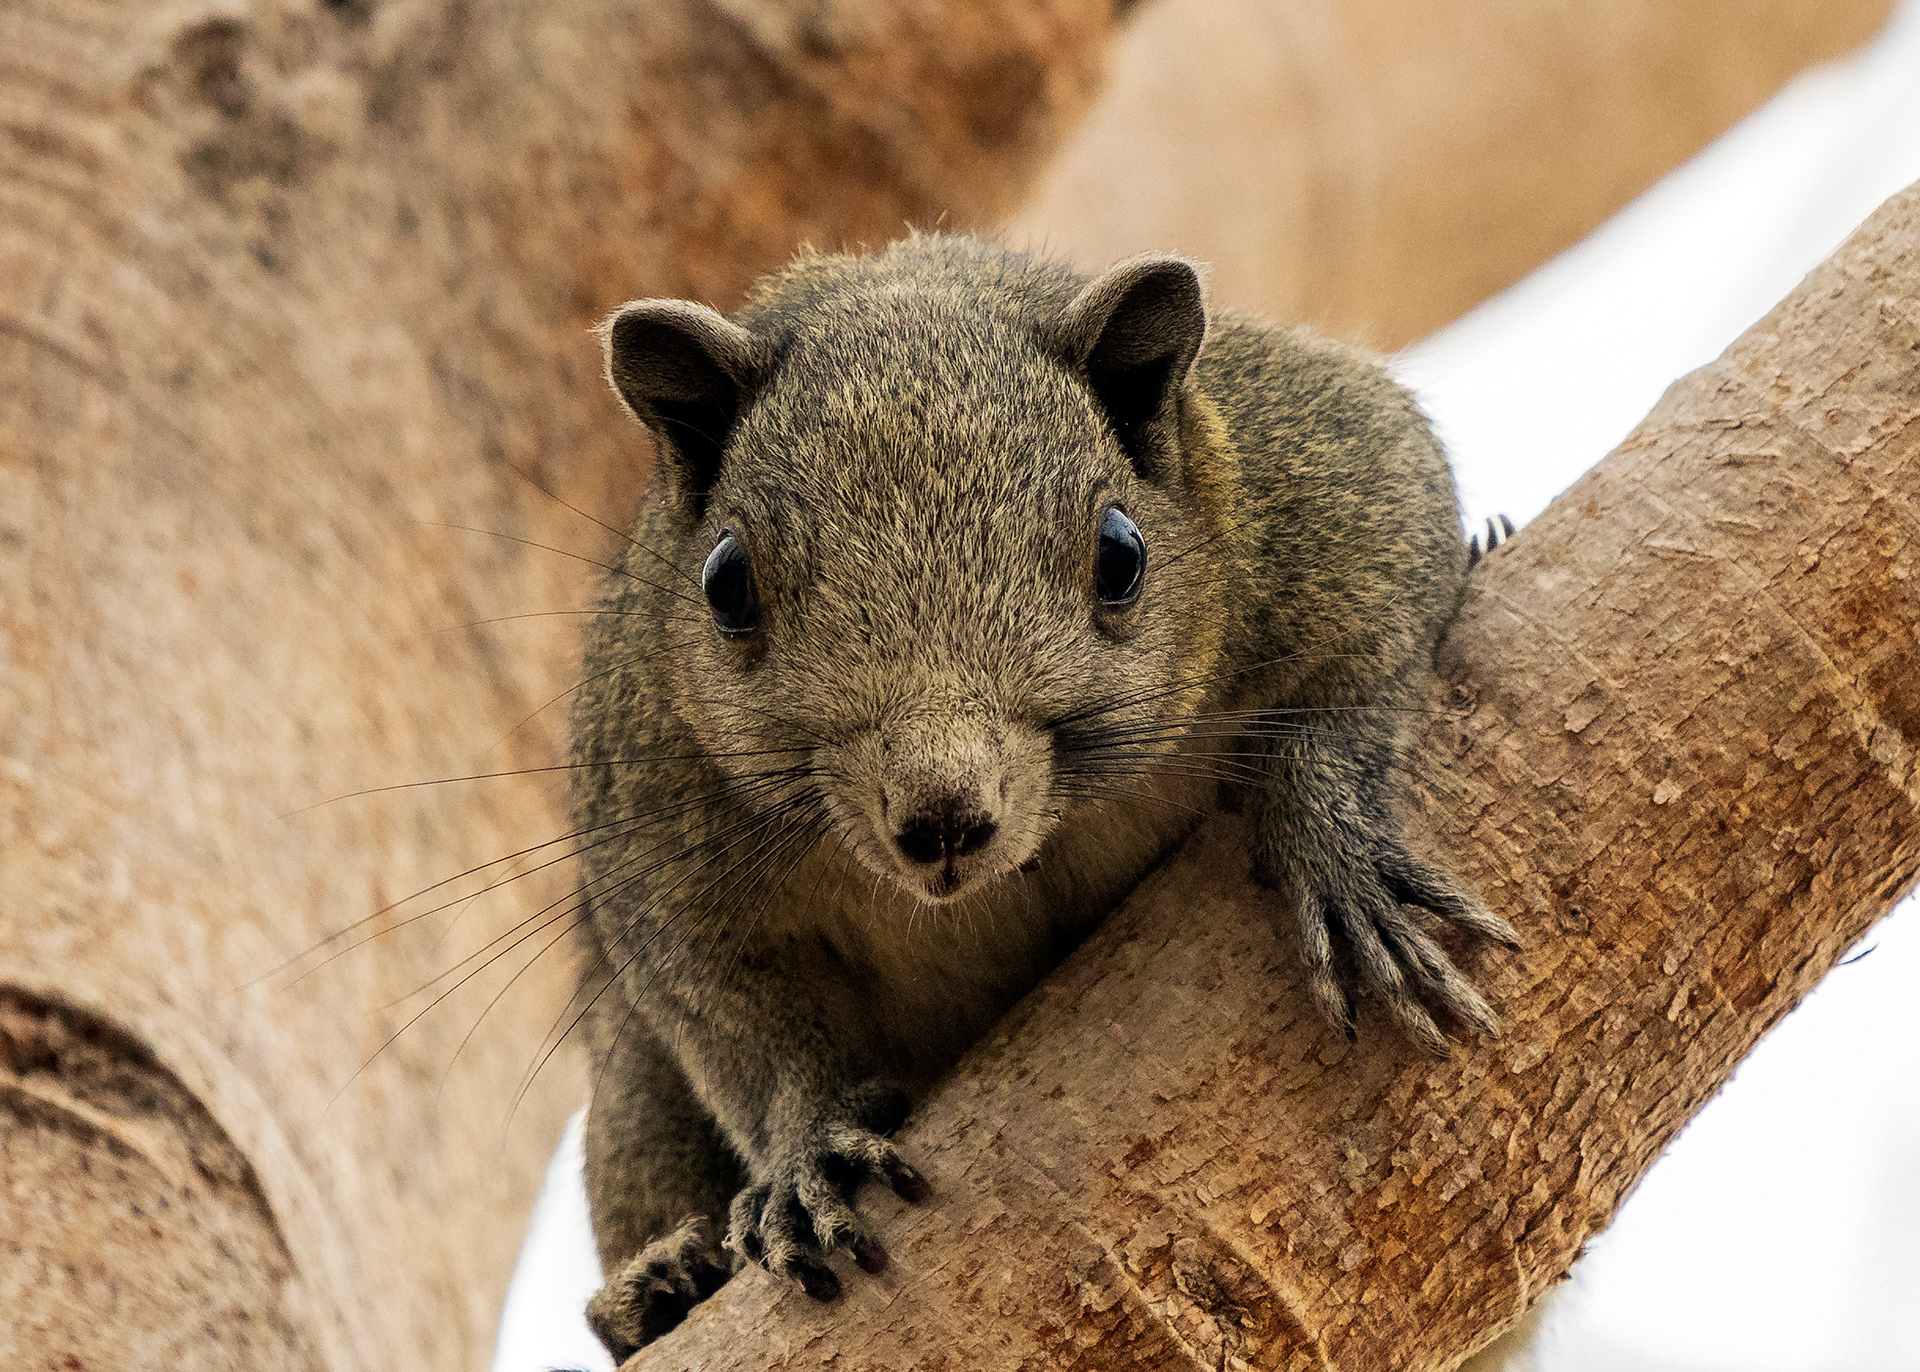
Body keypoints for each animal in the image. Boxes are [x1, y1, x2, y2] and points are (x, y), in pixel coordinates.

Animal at [568, 233, 1518, 1361]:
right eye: (724, 583)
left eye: (1121, 553)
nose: (942, 817)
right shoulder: (650, 804)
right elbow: (732, 1018)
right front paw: (807, 1149)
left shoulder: (1298, 468)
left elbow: (1370, 623)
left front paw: (1336, 850)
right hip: (630, 1088)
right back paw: (659, 1285)